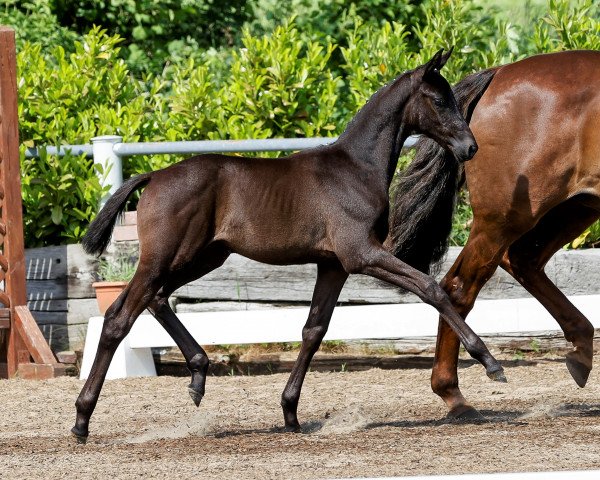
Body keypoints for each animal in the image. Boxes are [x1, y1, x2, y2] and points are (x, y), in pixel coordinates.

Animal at [70, 48, 504, 442]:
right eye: (438, 100)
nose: (470, 147)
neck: (356, 168)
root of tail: (155, 176)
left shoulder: (334, 264)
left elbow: (314, 328)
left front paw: (290, 413)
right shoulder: (361, 254)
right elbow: (431, 289)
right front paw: (489, 361)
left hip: (204, 256)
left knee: (157, 298)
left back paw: (197, 375)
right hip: (165, 257)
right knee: (119, 317)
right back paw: (81, 420)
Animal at [392, 49, 600, 420]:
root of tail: (498, 73)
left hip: (576, 206)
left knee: (522, 259)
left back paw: (580, 351)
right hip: (505, 217)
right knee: (459, 287)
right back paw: (453, 394)